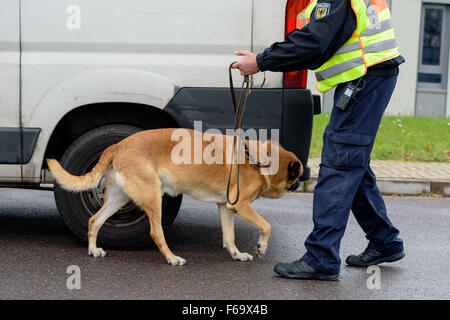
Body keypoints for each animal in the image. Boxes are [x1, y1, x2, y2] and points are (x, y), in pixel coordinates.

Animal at [46, 127, 302, 264]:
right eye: (295, 176)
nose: (302, 182)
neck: (259, 158)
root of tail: (117, 146)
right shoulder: (240, 206)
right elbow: (266, 226)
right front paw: (261, 247)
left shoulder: (226, 207)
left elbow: (229, 237)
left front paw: (236, 254)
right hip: (152, 197)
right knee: (156, 232)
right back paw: (172, 258)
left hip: (119, 198)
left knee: (94, 221)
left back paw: (93, 249)